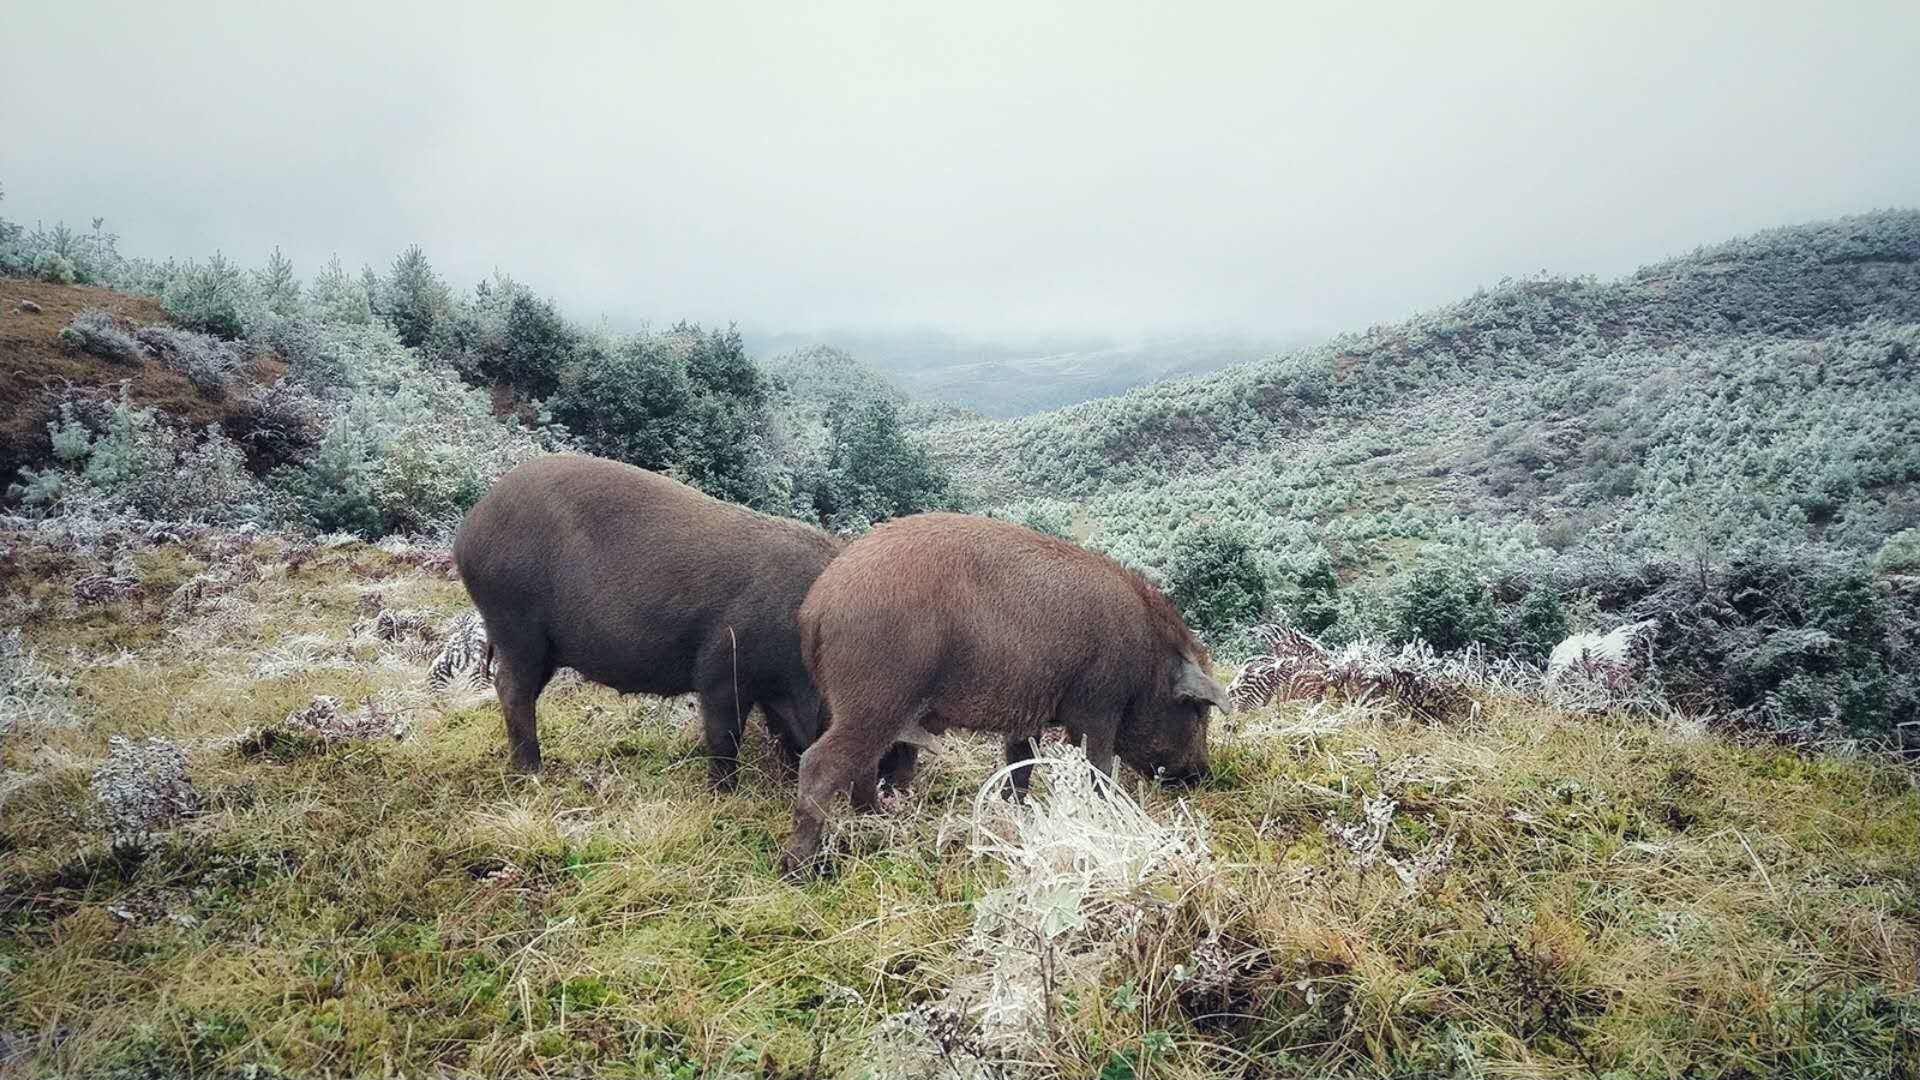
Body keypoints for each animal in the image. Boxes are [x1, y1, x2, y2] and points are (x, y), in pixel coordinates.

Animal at [453, 449, 844, 776]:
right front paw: (723, 789)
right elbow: (725, 735)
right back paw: (532, 771)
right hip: (514, 620)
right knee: (511, 688)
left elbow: (783, 732)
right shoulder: (721, 667)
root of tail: (469, 527)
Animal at [779, 507, 1228, 868]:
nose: (1201, 775)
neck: (1149, 660)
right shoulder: (1098, 703)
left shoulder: (1028, 709)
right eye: (1197, 710)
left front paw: (1017, 811)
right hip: (876, 696)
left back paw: (882, 818)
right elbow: (1097, 765)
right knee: (820, 762)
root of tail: (817, 606)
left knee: (862, 763)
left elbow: (1020, 762)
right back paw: (801, 868)